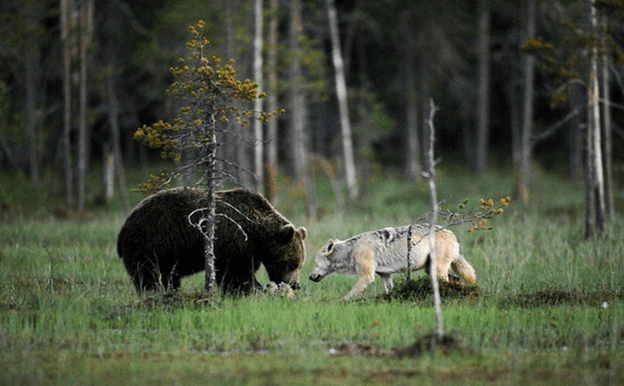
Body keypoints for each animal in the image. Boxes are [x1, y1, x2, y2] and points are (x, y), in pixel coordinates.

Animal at [116, 188, 308, 294]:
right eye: (291, 263)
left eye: (300, 264)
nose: (295, 284)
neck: (256, 234)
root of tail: (123, 227)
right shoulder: (234, 242)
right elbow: (236, 274)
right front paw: (253, 290)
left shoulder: (250, 250)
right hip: (151, 243)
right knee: (148, 275)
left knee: (168, 277)